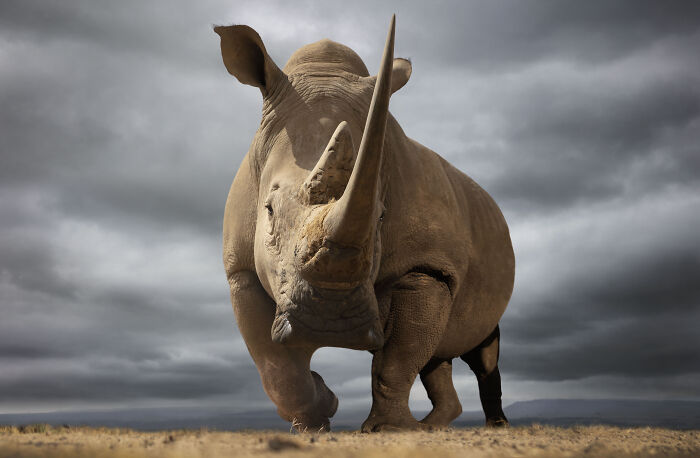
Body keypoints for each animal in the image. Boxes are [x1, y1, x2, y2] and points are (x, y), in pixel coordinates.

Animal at [215, 16, 515, 432]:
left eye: (382, 217)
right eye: (269, 210)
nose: (330, 324)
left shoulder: (428, 266)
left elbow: (398, 359)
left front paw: (385, 428)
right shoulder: (240, 268)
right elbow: (276, 368)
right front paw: (318, 414)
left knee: (480, 348)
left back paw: (490, 426)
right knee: (438, 356)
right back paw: (433, 425)